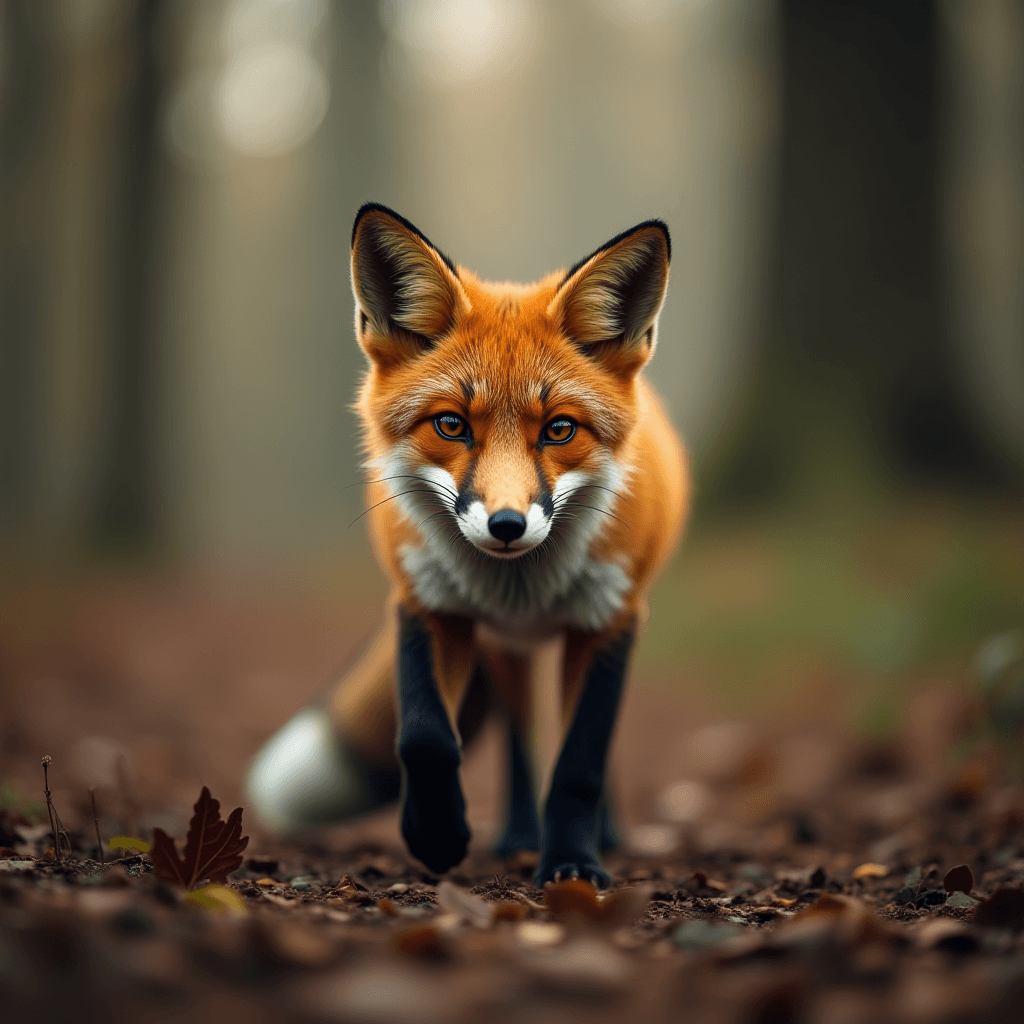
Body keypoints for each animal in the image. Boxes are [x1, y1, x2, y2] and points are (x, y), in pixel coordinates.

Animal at [246, 203, 688, 884]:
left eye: (560, 430)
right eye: (451, 425)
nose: (506, 525)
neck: (521, 588)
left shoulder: (608, 619)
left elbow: (580, 763)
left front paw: (572, 863)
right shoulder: (427, 603)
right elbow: (425, 738)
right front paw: (435, 837)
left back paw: (598, 835)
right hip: (506, 651)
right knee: (520, 743)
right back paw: (518, 835)